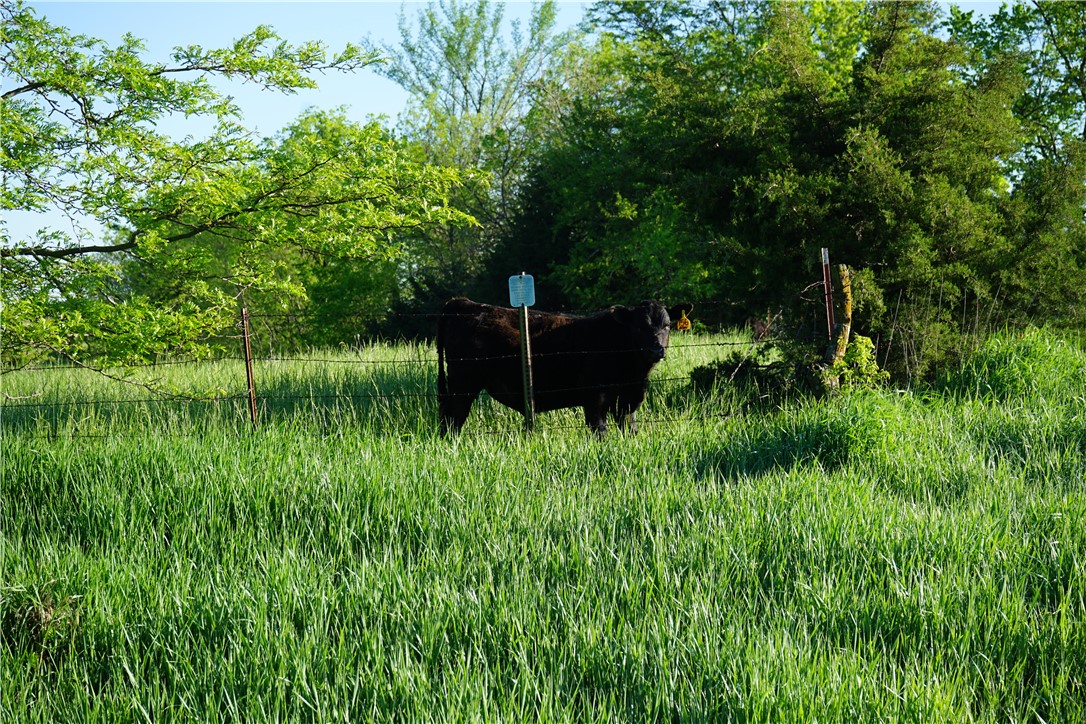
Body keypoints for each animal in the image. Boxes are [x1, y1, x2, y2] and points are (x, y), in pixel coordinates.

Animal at [432, 295, 686, 436]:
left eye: (667, 325)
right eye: (639, 326)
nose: (656, 350)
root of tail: (463, 303)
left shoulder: (627, 399)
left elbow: (629, 428)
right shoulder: (595, 397)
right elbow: (600, 429)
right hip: (463, 386)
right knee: (453, 420)